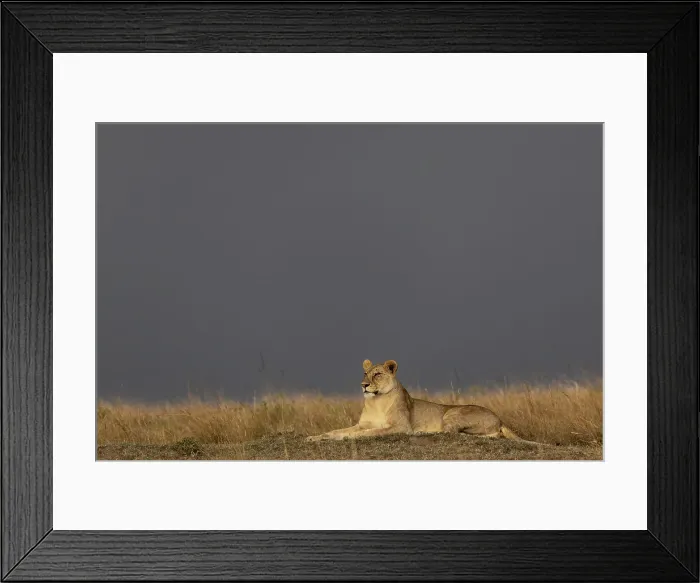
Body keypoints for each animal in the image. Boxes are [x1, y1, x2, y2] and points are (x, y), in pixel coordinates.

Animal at [306, 358, 533, 443]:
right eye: (365, 373)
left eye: (377, 374)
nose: (363, 385)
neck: (375, 401)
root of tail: (500, 419)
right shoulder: (361, 423)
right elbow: (337, 430)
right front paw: (316, 437)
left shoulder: (400, 426)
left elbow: (369, 432)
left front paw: (346, 438)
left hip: (452, 412)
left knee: (453, 432)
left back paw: (422, 432)